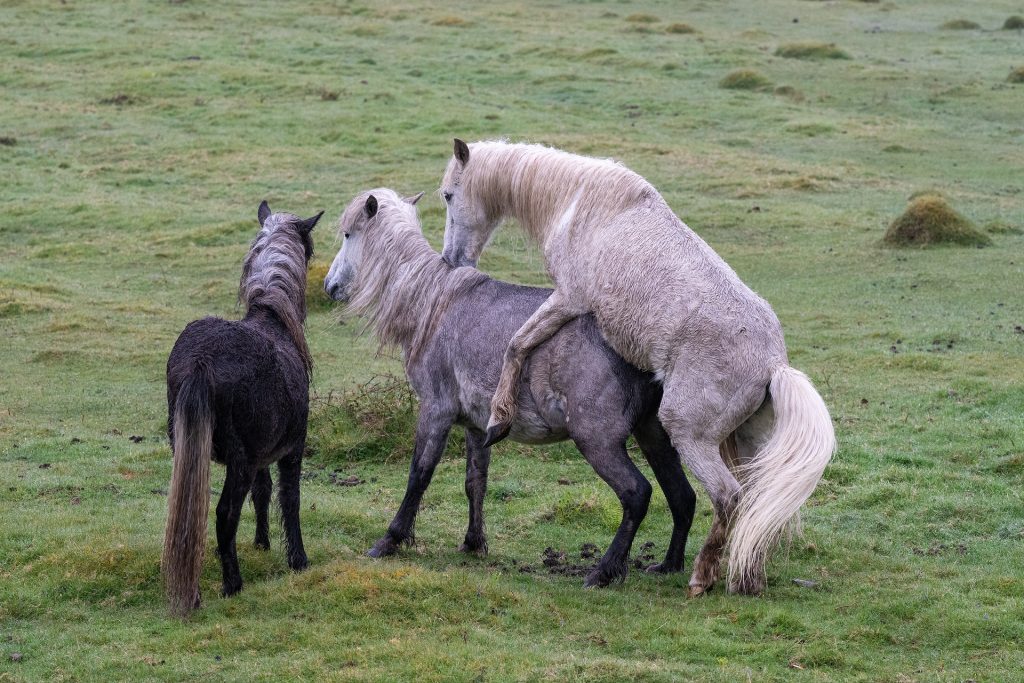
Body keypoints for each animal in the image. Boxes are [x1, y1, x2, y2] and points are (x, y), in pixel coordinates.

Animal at [162, 201, 322, 617]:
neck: (273, 317)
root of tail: (201, 360)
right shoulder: (290, 449)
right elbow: (289, 499)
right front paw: (298, 560)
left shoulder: (261, 455)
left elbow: (263, 492)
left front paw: (262, 543)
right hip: (238, 459)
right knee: (223, 514)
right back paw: (232, 584)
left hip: (190, 448)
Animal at [323, 188, 698, 588]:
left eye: (348, 234)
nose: (329, 286)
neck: (432, 302)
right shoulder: (475, 424)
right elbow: (476, 481)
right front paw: (473, 542)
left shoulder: (436, 409)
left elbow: (419, 474)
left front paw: (390, 540)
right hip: (652, 432)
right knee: (682, 495)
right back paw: (669, 565)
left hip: (597, 438)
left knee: (637, 494)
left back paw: (603, 571)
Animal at [438, 139, 836, 595]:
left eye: (448, 195)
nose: (451, 260)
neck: (577, 202)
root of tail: (774, 364)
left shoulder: (568, 298)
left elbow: (516, 344)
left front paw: (498, 420)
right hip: (750, 441)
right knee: (755, 503)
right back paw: (742, 577)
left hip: (689, 433)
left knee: (729, 497)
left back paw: (700, 577)